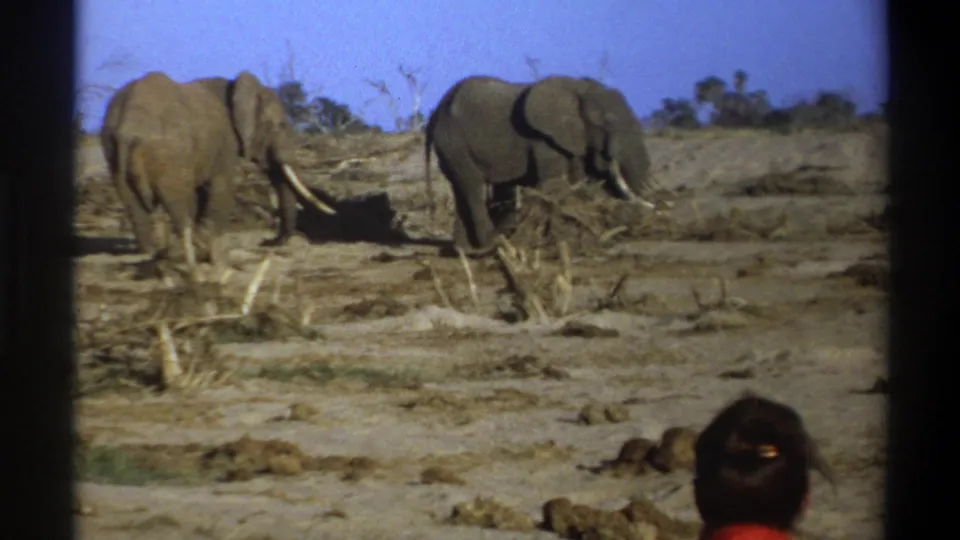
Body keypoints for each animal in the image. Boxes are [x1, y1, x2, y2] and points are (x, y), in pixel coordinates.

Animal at [100, 70, 335, 277]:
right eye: (281, 125)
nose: (269, 242)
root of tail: (127, 129)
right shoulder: (225, 144)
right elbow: (220, 188)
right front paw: (218, 259)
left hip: (113, 156)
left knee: (137, 211)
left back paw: (156, 263)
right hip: (169, 155)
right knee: (180, 207)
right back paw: (193, 265)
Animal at [424, 74, 657, 254]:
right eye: (607, 122)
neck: (577, 87)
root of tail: (436, 111)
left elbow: (579, 182)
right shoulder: (543, 141)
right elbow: (555, 185)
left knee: (472, 189)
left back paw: (466, 249)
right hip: (453, 143)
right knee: (472, 187)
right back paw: (493, 244)